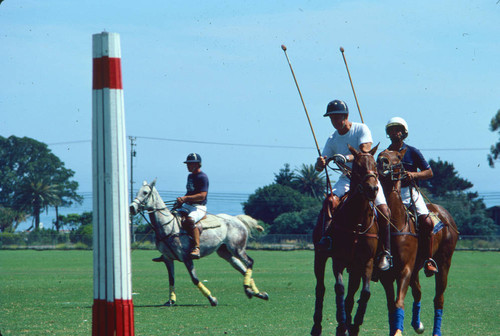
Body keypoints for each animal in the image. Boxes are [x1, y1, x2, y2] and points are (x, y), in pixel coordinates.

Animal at [129, 180, 270, 306]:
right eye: (137, 192)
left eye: (145, 192)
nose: (132, 207)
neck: (167, 226)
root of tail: (237, 219)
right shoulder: (168, 259)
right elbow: (171, 280)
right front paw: (171, 301)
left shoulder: (186, 257)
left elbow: (194, 279)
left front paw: (212, 299)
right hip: (225, 252)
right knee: (243, 268)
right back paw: (257, 293)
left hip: (237, 248)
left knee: (249, 262)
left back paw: (249, 290)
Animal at [310, 144, 380, 336]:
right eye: (358, 167)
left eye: (375, 165)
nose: (372, 189)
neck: (357, 222)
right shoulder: (338, 259)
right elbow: (339, 289)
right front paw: (342, 325)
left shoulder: (367, 260)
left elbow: (365, 292)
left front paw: (354, 325)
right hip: (320, 256)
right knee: (320, 288)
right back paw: (317, 326)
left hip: (355, 266)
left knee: (351, 293)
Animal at [376, 150, 458, 336]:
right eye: (381, 153)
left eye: (398, 158)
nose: (382, 161)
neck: (395, 224)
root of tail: (445, 213)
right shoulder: (386, 275)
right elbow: (391, 305)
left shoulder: (405, 269)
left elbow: (399, 302)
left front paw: (398, 331)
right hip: (417, 267)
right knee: (418, 292)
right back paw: (417, 324)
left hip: (444, 262)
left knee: (438, 298)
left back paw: (436, 331)